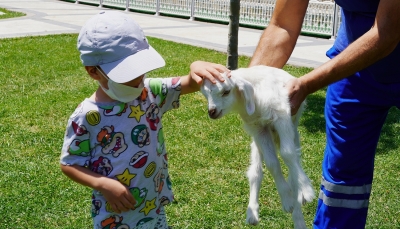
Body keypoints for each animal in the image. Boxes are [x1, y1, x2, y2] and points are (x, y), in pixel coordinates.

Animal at [202, 65, 314, 229]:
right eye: (205, 94)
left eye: (226, 91)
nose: (212, 112)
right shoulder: (258, 128)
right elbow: (272, 163)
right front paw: (287, 200)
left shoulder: (281, 116)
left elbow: (288, 154)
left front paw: (306, 191)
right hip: (258, 141)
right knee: (255, 172)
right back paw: (253, 214)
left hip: (292, 131)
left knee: (293, 166)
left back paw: (299, 216)